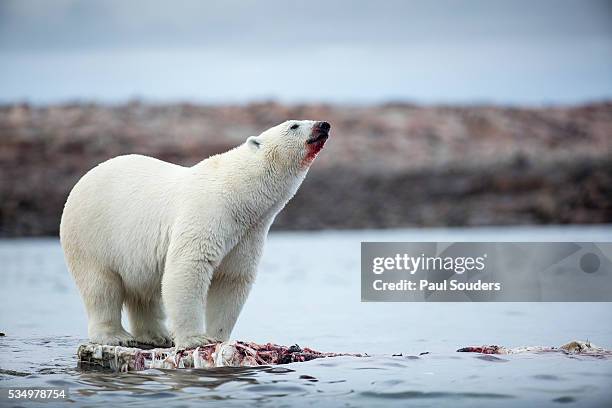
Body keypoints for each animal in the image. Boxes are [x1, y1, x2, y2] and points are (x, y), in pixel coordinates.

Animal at [58, 120, 330, 348]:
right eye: (294, 125)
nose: (324, 124)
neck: (239, 193)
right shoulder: (208, 211)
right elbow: (189, 266)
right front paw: (195, 339)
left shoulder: (248, 232)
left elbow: (232, 278)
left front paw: (217, 337)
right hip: (90, 234)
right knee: (101, 286)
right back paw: (116, 336)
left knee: (145, 293)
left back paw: (158, 335)